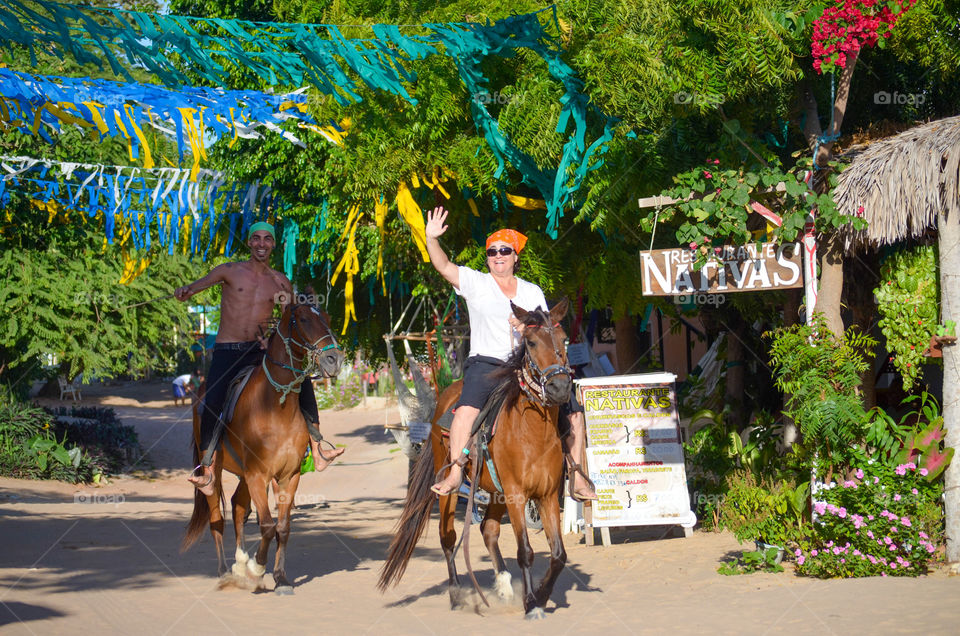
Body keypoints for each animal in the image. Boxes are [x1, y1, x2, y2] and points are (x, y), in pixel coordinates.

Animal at [181, 302, 344, 593]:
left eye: (326, 317)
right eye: (303, 319)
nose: (334, 359)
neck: (276, 407)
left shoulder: (288, 476)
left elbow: (283, 527)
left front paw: (280, 577)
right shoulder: (258, 474)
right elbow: (267, 525)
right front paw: (258, 568)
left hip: (245, 474)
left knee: (238, 506)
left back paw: (239, 563)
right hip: (218, 470)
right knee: (217, 518)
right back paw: (225, 571)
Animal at [379, 298, 574, 619]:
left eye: (564, 339)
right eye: (531, 342)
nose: (559, 388)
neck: (532, 432)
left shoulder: (545, 496)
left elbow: (558, 554)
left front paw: (542, 596)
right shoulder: (517, 495)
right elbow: (526, 551)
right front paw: (531, 602)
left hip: (495, 491)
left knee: (488, 530)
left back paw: (504, 586)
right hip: (450, 487)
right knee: (447, 536)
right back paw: (457, 594)